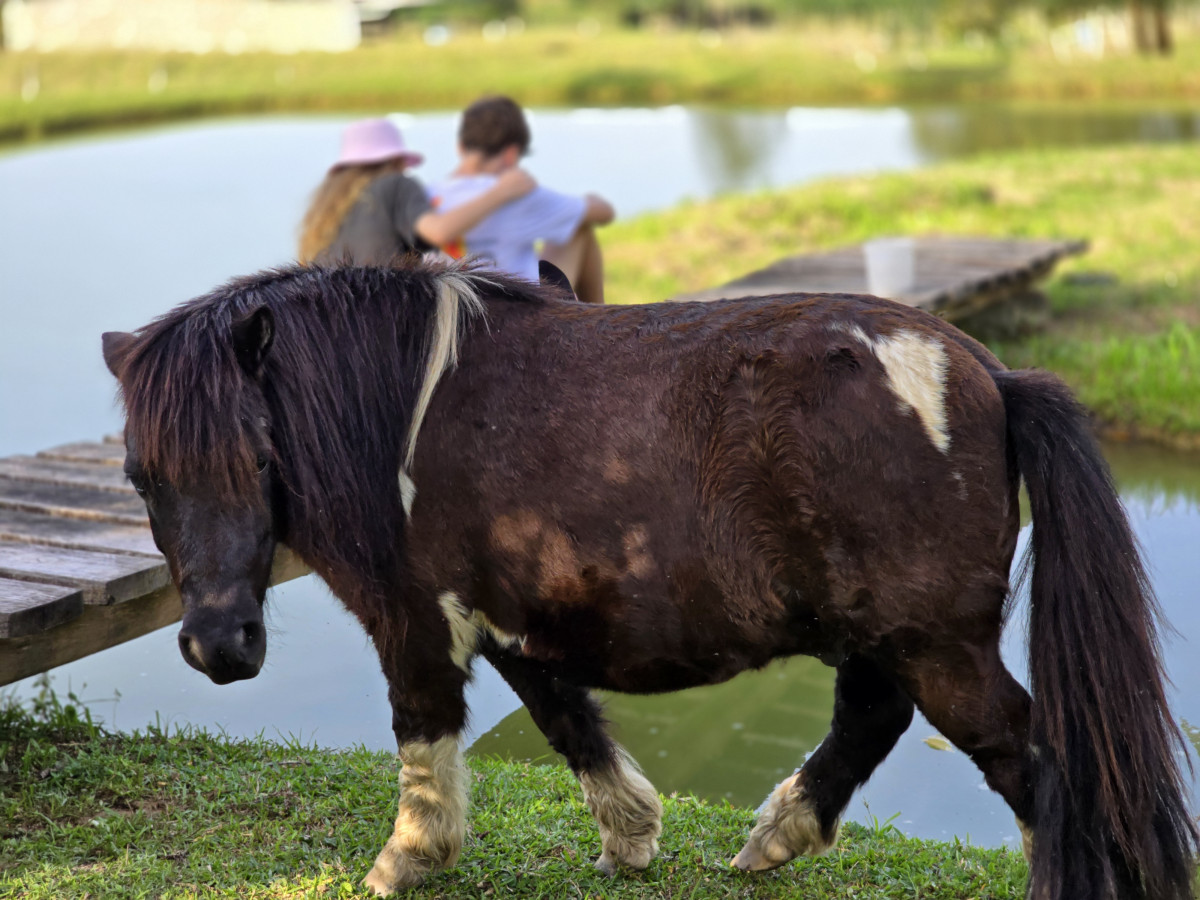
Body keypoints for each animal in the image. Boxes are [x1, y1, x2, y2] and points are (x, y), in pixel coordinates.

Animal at [103, 260, 1200, 900]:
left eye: (255, 456)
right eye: (141, 475)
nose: (219, 646)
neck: (401, 412)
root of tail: (992, 374)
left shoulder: (415, 623)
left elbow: (424, 738)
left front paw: (405, 861)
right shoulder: (508, 621)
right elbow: (566, 721)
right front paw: (631, 840)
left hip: (936, 642)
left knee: (1026, 759)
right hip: (891, 630)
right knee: (874, 714)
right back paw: (778, 836)